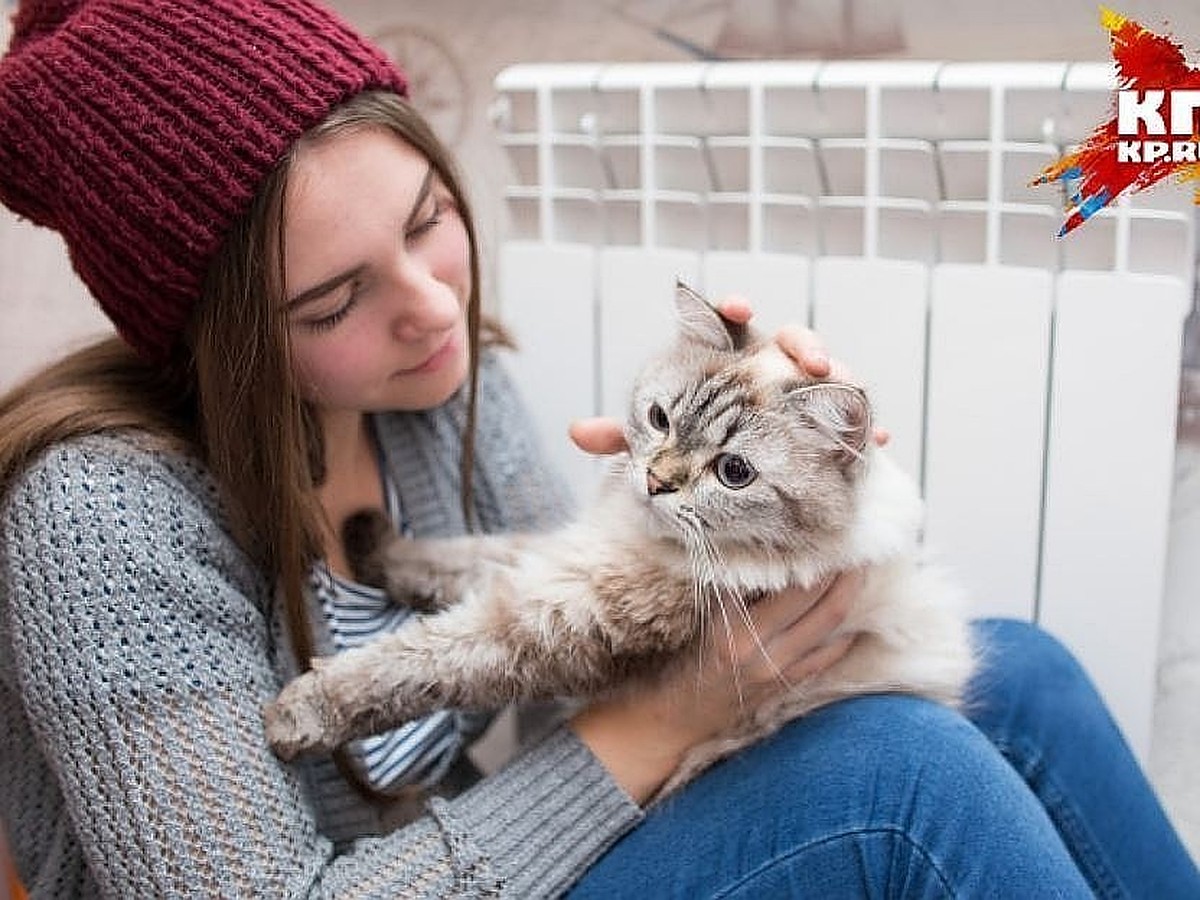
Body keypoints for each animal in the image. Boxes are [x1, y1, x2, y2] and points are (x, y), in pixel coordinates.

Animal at [262, 285, 974, 801]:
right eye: (660, 420)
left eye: (733, 472)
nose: (657, 482)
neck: (644, 537)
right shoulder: (556, 558)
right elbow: (442, 560)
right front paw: (365, 538)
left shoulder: (556, 622)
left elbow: (412, 664)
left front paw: (297, 715)